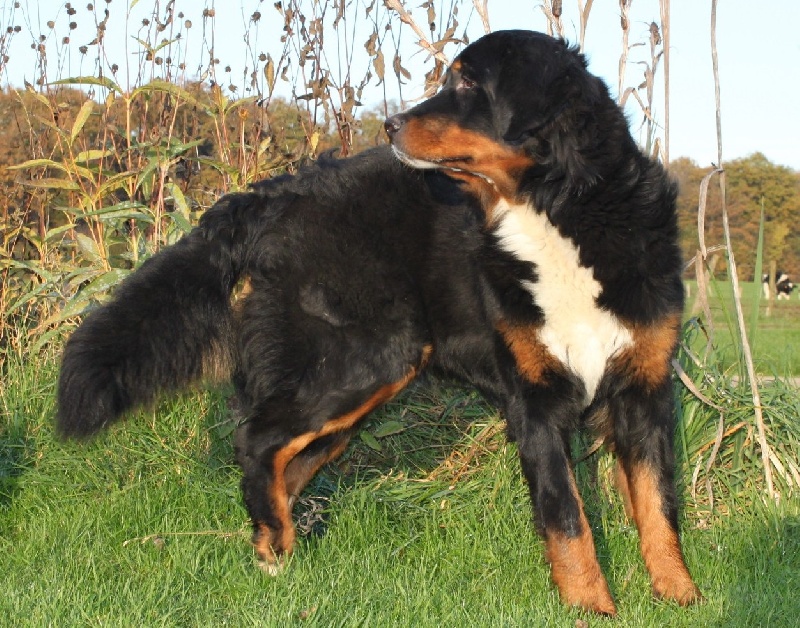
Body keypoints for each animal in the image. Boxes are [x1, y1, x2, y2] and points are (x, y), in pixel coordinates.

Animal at [57, 29, 700, 612]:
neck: (556, 210)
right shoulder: (535, 399)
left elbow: (657, 503)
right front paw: (591, 605)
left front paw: (677, 594)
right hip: (366, 358)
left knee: (284, 457)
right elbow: (567, 517)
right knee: (258, 439)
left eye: (470, 83)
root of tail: (281, 190)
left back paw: (278, 544)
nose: (390, 124)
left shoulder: (644, 388)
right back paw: (276, 549)